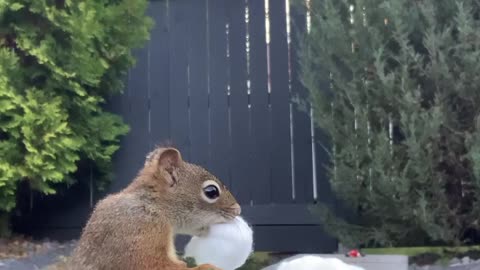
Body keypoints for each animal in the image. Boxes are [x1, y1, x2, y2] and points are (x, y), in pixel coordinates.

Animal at [65, 147, 242, 268]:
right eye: (211, 191)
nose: (238, 210)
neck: (153, 206)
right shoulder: (140, 230)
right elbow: (154, 264)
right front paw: (208, 267)